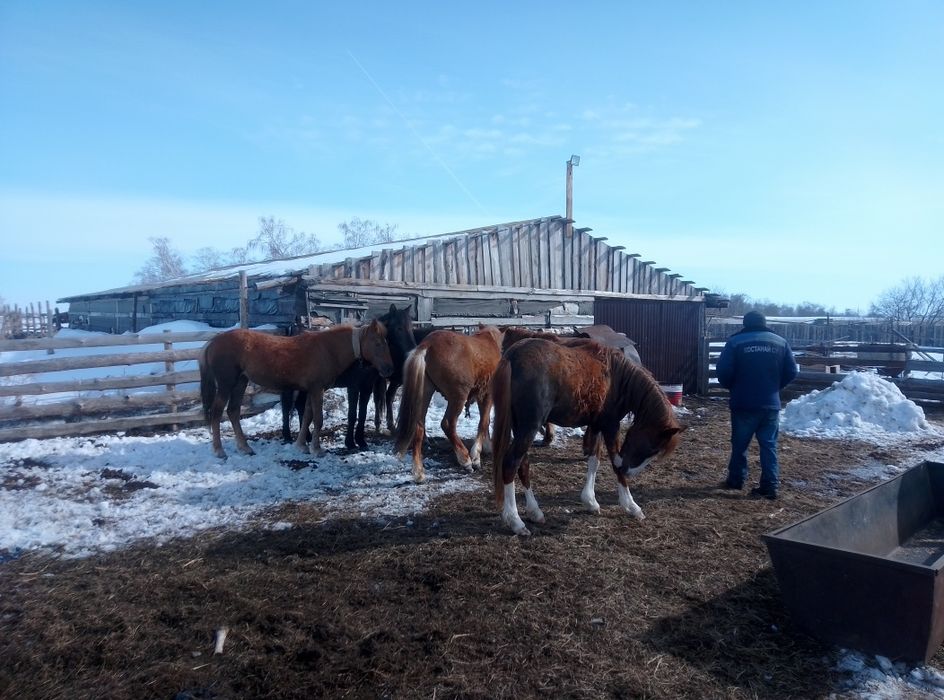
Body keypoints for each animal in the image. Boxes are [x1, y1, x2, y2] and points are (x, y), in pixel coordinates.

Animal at [199, 321, 394, 459]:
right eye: (378, 343)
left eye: (386, 342)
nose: (389, 369)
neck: (327, 349)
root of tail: (213, 342)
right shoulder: (317, 389)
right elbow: (318, 419)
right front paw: (317, 449)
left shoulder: (310, 390)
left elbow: (307, 416)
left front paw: (301, 445)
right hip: (226, 384)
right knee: (217, 412)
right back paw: (219, 450)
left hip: (241, 382)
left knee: (233, 411)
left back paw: (245, 448)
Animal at [280, 305, 417, 450]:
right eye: (399, 328)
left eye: (411, 327)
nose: (412, 350)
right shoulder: (353, 387)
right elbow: (352, 414)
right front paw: (350, 442)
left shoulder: (366, 387)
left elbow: (362, 413)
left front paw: (361, 441)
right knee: (287, 406)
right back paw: (288, 436)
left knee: (300, 406)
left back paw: (307, 437)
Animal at [394, 325, 504, 483]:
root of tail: (427, 344)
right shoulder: (486, 395)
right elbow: (483, 422)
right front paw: (476, 456)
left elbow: (485, 421)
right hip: (457, 397)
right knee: (447, 424)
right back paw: (465, 459)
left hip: (425, 393)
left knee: (419, 427)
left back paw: (419, 472)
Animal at [491, 337, 683, 535]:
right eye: (653, 449)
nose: (629, 472)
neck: (617, 377)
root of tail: (512, 357)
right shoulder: (611, 425)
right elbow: (615, 462)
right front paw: (631, 505)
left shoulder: (596, 425)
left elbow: (594, 460)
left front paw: (590, 501)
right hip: (529, 428)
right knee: (511, 464)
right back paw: (515, 521)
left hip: (520, 428)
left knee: (523, 465)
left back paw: (534, 512)